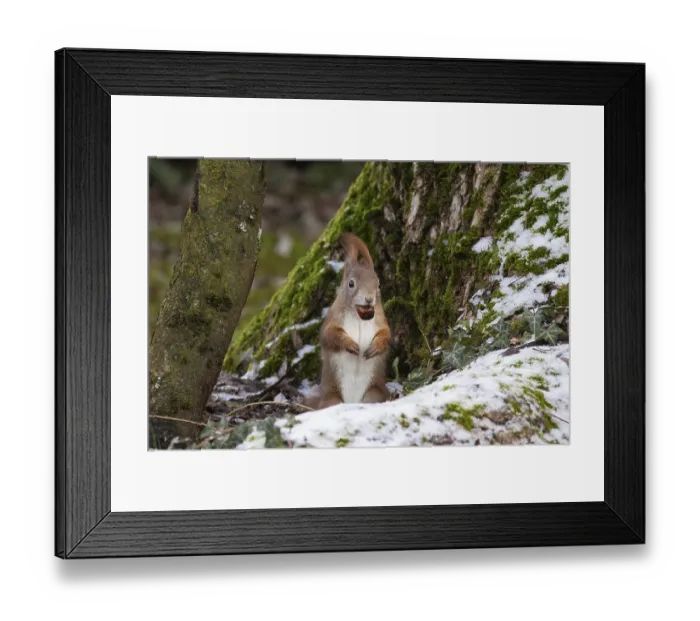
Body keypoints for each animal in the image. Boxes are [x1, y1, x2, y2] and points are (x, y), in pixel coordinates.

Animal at [305, 233, 391, 409]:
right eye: (351, 283)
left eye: (378, 284)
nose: (369, 299)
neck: (360, 318)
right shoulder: (333, 319)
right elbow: (329, 336)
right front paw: (350, 344)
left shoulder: (380, 319)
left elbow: (386, 334)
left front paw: (376, 347)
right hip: (332, 397)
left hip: (373, 393)